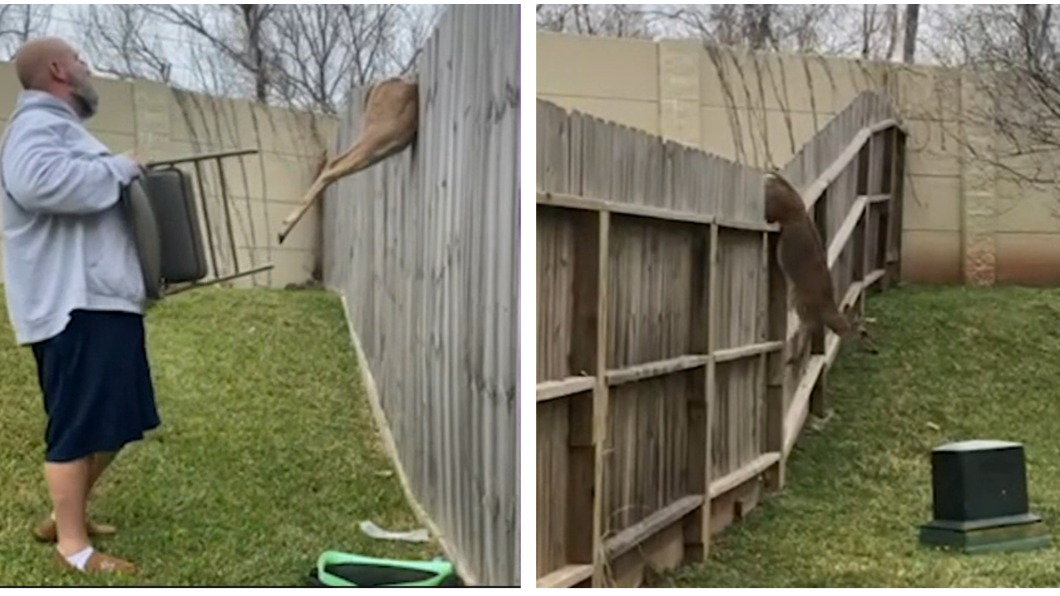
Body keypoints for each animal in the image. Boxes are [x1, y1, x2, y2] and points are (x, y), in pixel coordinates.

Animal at [765, 170, 878, 365]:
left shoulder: (806, 315)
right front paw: (792, 359)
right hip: (775, 206)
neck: (824, 311)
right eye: (863, 333)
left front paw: (792, 359)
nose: (875, 350)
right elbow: (802, 339)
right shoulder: (804, 312)